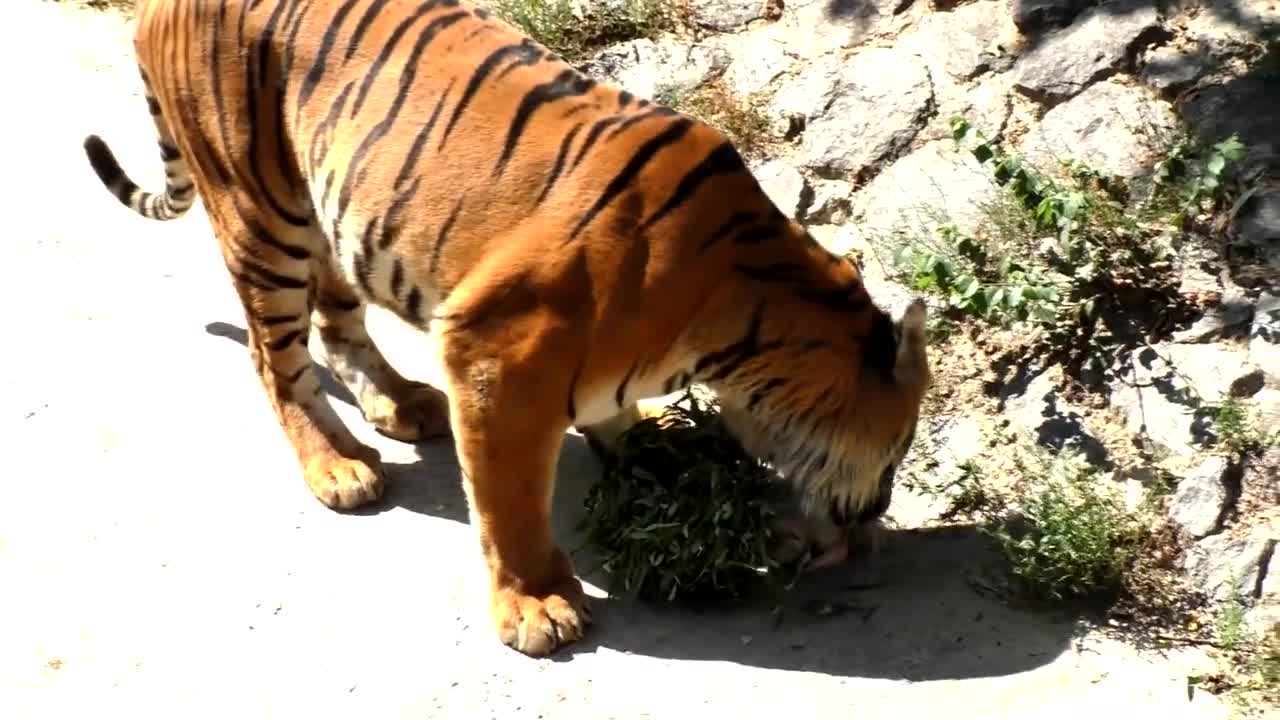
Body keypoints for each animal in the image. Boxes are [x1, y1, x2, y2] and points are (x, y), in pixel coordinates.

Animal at [87, 0, 931, 655]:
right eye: (896, 449)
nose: (877, 514)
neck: (743, 322)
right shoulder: (496, 353)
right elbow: (508, 498)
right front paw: (536, 604)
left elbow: (614, 417)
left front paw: (658, 454)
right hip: (260, 211)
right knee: (275, 359)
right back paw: (337, 466)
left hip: (328, 209)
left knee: (337, 323)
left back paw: (400, 403)